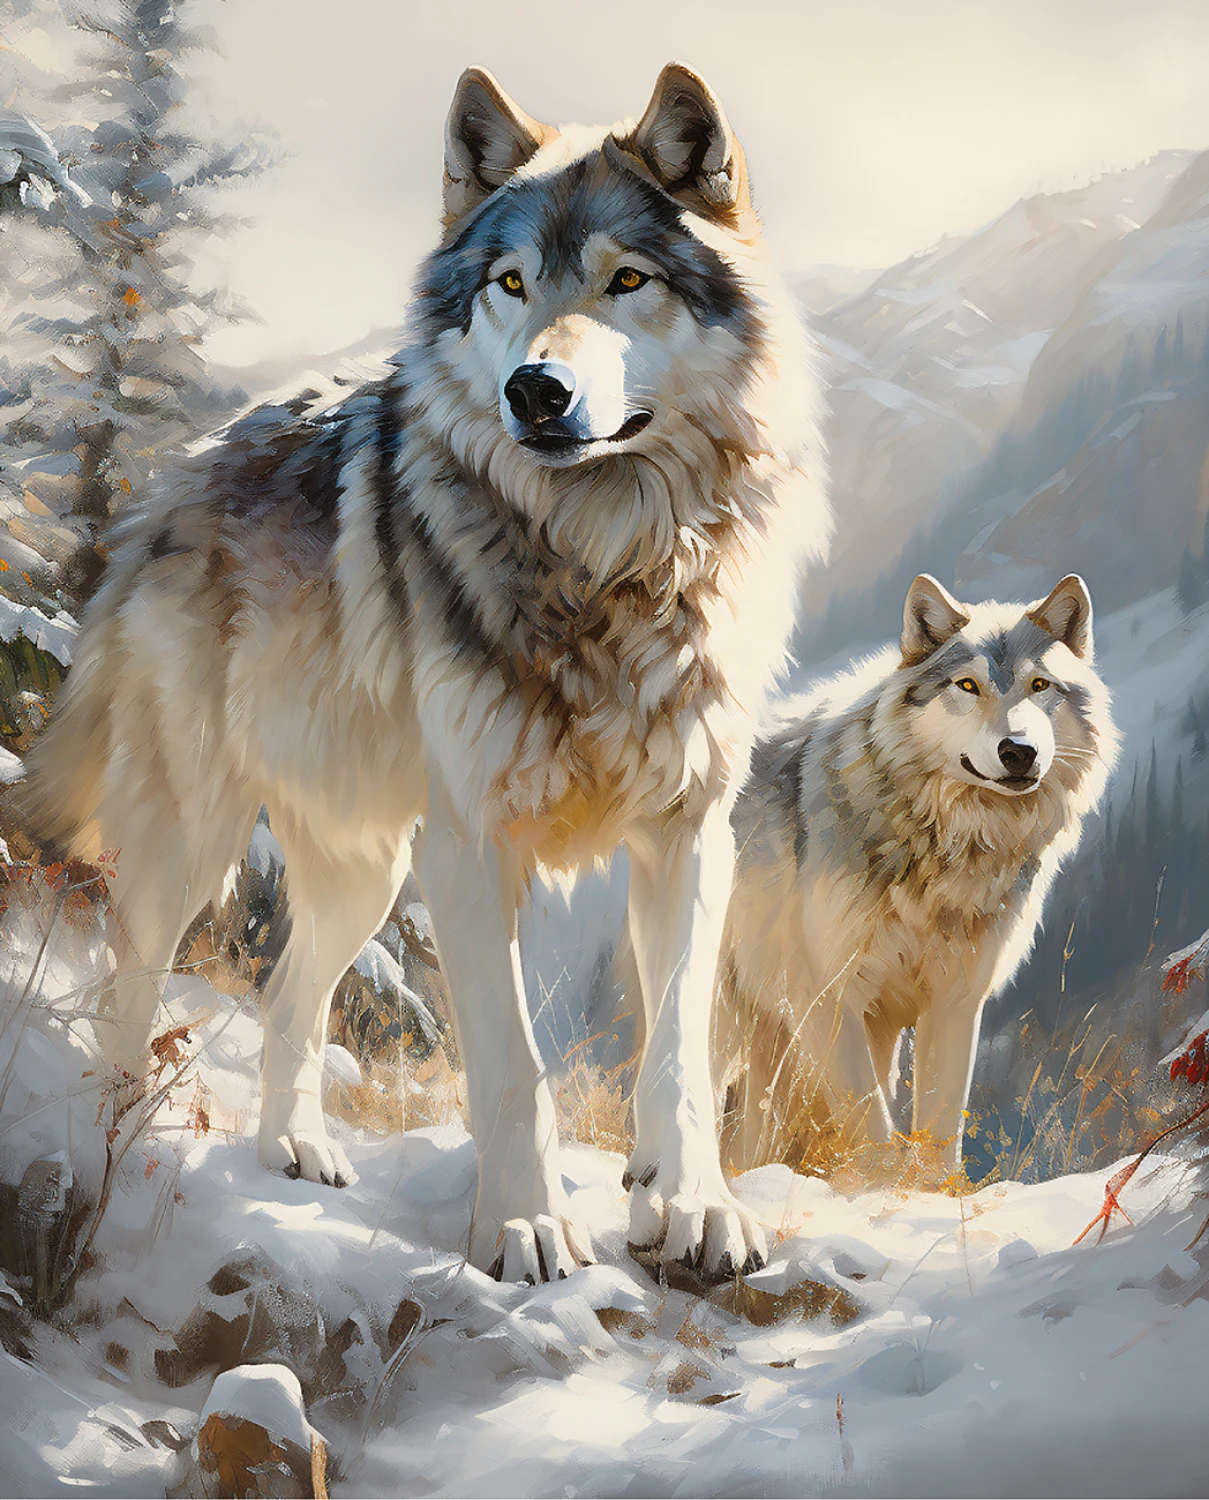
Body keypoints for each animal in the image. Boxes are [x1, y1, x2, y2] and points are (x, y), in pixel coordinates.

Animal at [26, 64, 829, 1281]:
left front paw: (691, 1207)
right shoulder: (475, 847)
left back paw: (294, 1150)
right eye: (510, 284)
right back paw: (114, 1147)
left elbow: (680, 1055)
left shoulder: (690, 838)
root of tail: (180, 477)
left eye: (626, 279)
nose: (537, 391)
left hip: (363, 867)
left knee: (285, 996)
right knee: (128, 984)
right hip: (198, 840)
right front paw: (525, 1229)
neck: (603, 568)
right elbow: (512, 1067)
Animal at [716, 573, 1118, 1181]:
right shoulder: (826, 998)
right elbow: (873, 1127)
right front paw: (880, 1193)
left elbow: (939, 1126)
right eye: (967, 685)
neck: (948, 847)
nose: (1018, 751)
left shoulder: (955, 1002)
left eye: (1040, 685)